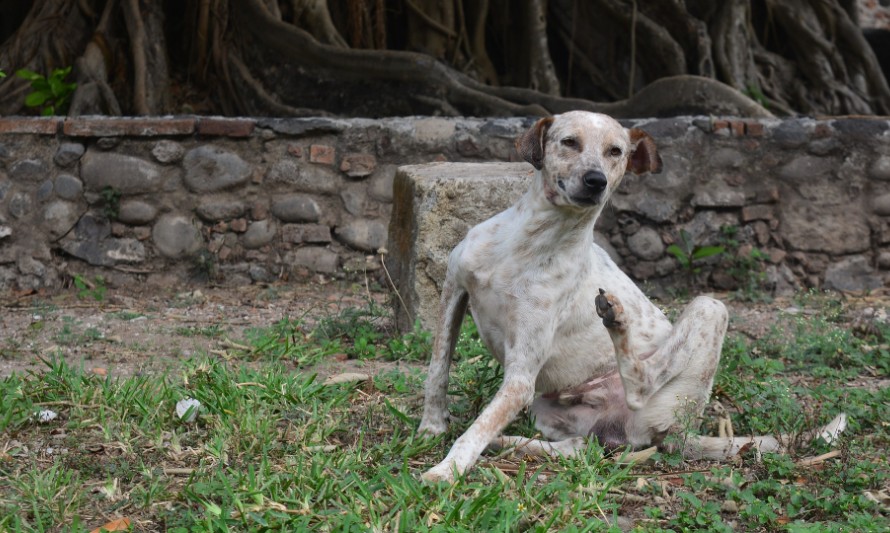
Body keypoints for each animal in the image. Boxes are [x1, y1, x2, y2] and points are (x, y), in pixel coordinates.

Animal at [418, 110, 848, 480]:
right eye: (569, 142)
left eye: (616, 151)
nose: (596, 181)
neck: (530, 242)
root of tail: (680, 431)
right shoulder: (454, 290)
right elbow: (438, 369)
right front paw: (431, 427)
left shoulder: (522, 377)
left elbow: (477, 428)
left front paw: (447, 470)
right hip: (548, 410)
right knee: (579, 447)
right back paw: (513, 443)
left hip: (708, 308)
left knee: (641, 384)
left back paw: (616, 321)